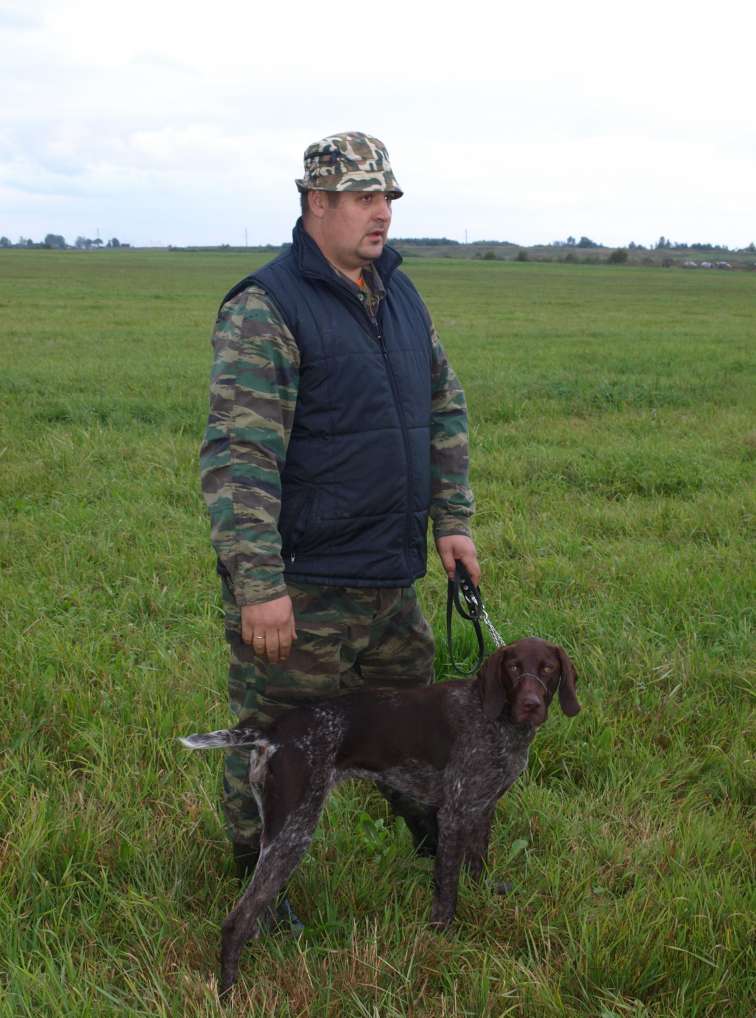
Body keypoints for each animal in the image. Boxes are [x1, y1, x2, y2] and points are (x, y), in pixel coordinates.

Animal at [181, 637, 580, 993]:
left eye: (548, 668)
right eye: (513, 668)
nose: (530, 705)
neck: (495, 718)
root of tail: (273, 731)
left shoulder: (482, 807)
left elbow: (477, 864)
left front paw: (484, 898)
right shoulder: (454, 812)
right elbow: (447, 887)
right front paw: (443, 937)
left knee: (257, 908)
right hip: (293, 830)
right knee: (236, 921)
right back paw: (229, 991)